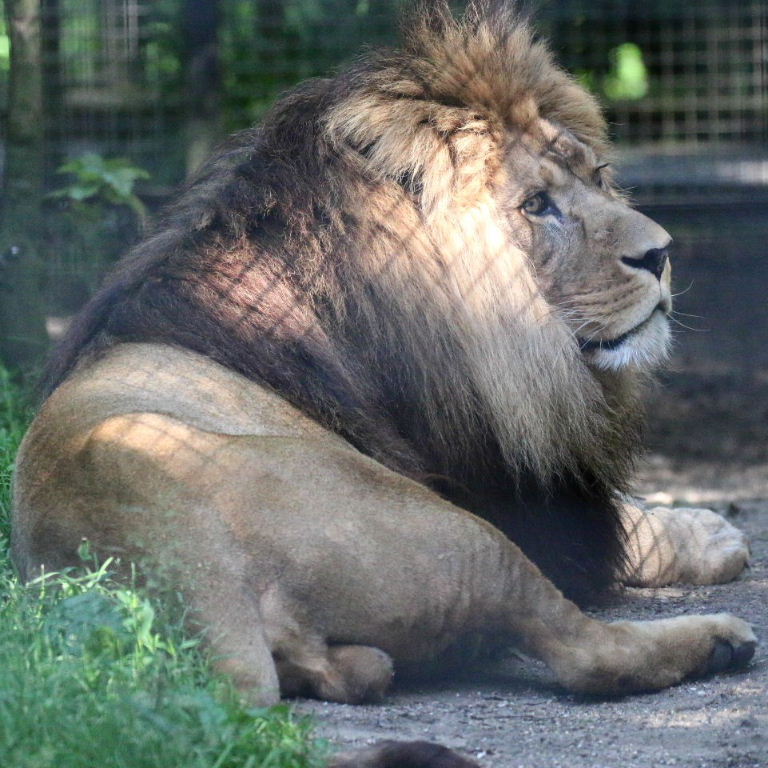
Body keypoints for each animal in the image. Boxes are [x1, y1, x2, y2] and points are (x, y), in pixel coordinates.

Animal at [12, 0, 754, 730]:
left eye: (598, 176)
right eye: (537, 205)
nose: (660, 253)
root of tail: (188, 566)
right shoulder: (499, 492)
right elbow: (619, 529)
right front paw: (711, 532)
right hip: (452, 531)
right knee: (588, 651)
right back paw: (718, 641)